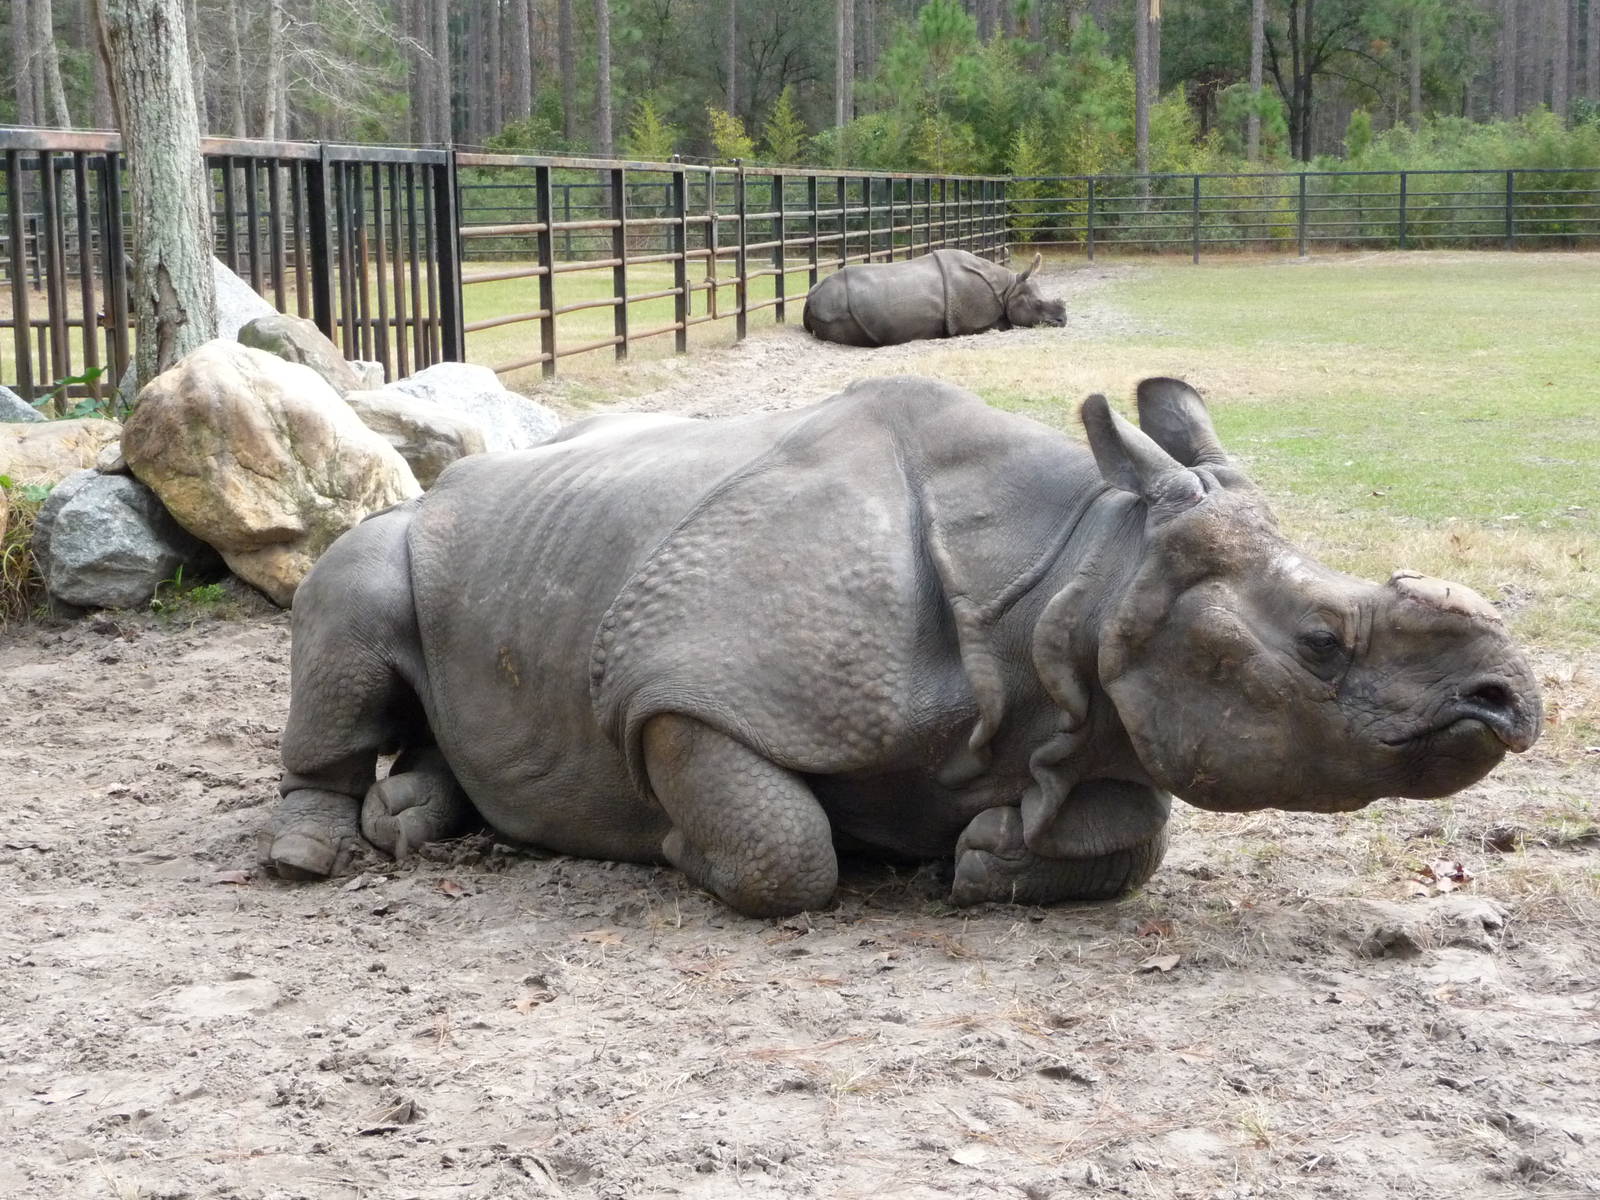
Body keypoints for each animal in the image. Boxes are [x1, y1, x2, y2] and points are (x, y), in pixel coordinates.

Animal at [264, 377, 1542, 917]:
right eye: (1321, 643)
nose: (1509, 701)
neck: (1078, 582)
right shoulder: (677, 687)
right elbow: (786, 851)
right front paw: (675, 848)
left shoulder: (1097, 709)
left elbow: (1136, 833)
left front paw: (983, 862)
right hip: (399, 531)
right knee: (354, 600)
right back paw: (313, 857)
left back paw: (412, 817)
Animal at [802, 249, 1066, 346]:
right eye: (1037, 304)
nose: (1063, 320)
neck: (1008, 289)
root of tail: (810, 296)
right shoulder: (972, 321)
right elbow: (1000, 325)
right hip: (833, 305)